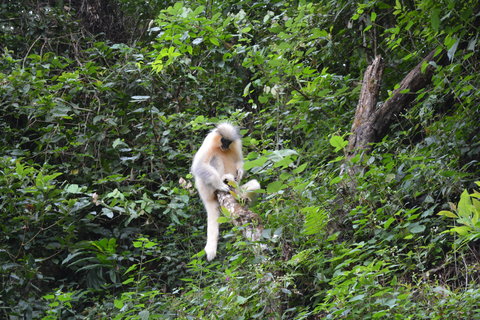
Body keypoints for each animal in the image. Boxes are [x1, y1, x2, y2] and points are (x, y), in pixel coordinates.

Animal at [191, 122, 260, 260]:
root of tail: (206, 198)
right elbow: (199, 166)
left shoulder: (236, 143)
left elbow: (239, 161)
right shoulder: (209, 141)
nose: (224, 145)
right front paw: (220, 184)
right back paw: (222, 181)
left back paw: (240, 195)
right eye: (223, 140)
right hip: (205, 188)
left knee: (254, 185)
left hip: (237, 190)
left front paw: (240, 172)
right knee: (214, 159)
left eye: (228, 142)